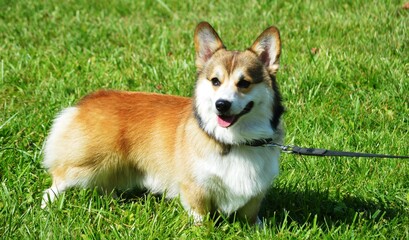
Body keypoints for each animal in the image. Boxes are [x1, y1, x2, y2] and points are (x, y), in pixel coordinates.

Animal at [41, 21, 284, 225]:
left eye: (244, 83)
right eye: (215, 81)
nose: (221, 105)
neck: (235, 141)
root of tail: (86, 102)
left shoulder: (255, 192)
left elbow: (250, 214)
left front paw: (257, 228)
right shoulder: (196, 187)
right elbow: (201, 216)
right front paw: (203, 231)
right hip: (86, 165)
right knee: (58, 179)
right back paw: (46, 207)